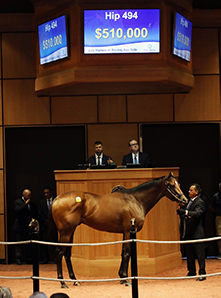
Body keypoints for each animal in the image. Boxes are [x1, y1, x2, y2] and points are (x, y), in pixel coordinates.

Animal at [49, 172, 187, 288]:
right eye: (171, 185)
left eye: (178, 184)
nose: (184, 200)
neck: (135, 200)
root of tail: (56, 199)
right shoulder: (128, 231)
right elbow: (127, 253)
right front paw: (126, 279)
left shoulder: (125, 233)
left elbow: (123, 253)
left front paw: (121, 277)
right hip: (66, 232)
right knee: (59, 253)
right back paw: (62, 283)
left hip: (70, 231)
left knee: (67, 254)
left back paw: (74, 280)